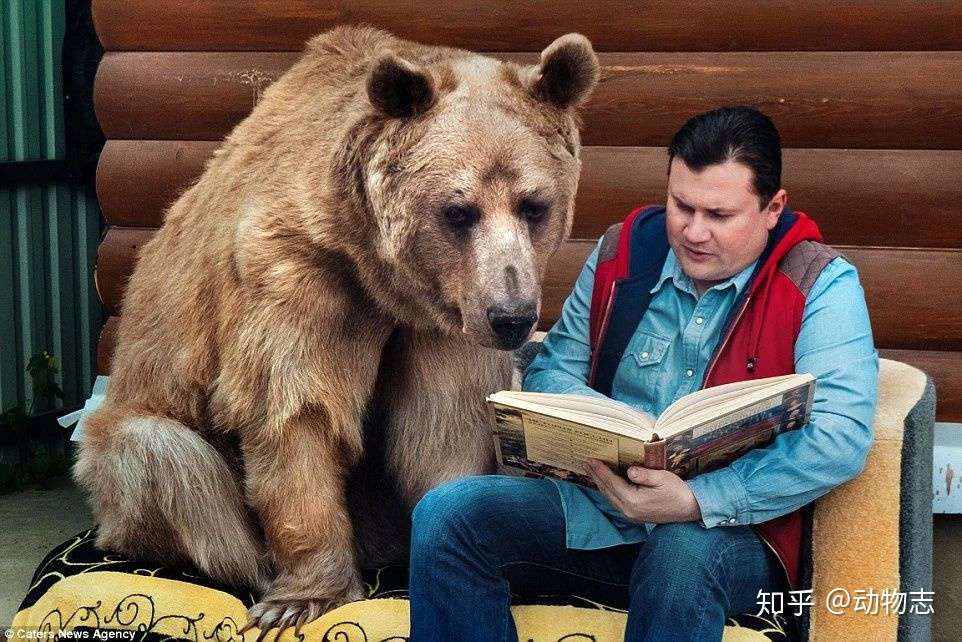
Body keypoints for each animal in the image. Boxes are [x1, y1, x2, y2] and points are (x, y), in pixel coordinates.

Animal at [73, 25, 599, 633]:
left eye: (533, 205)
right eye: (458, 210)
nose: (511, 316)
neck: (376, 270)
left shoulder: (445, 320)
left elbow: (442, 422)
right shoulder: (294, 272)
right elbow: (294, 408)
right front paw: (303, 595)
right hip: (137, 430)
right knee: (167, 460)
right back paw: (257, 567)